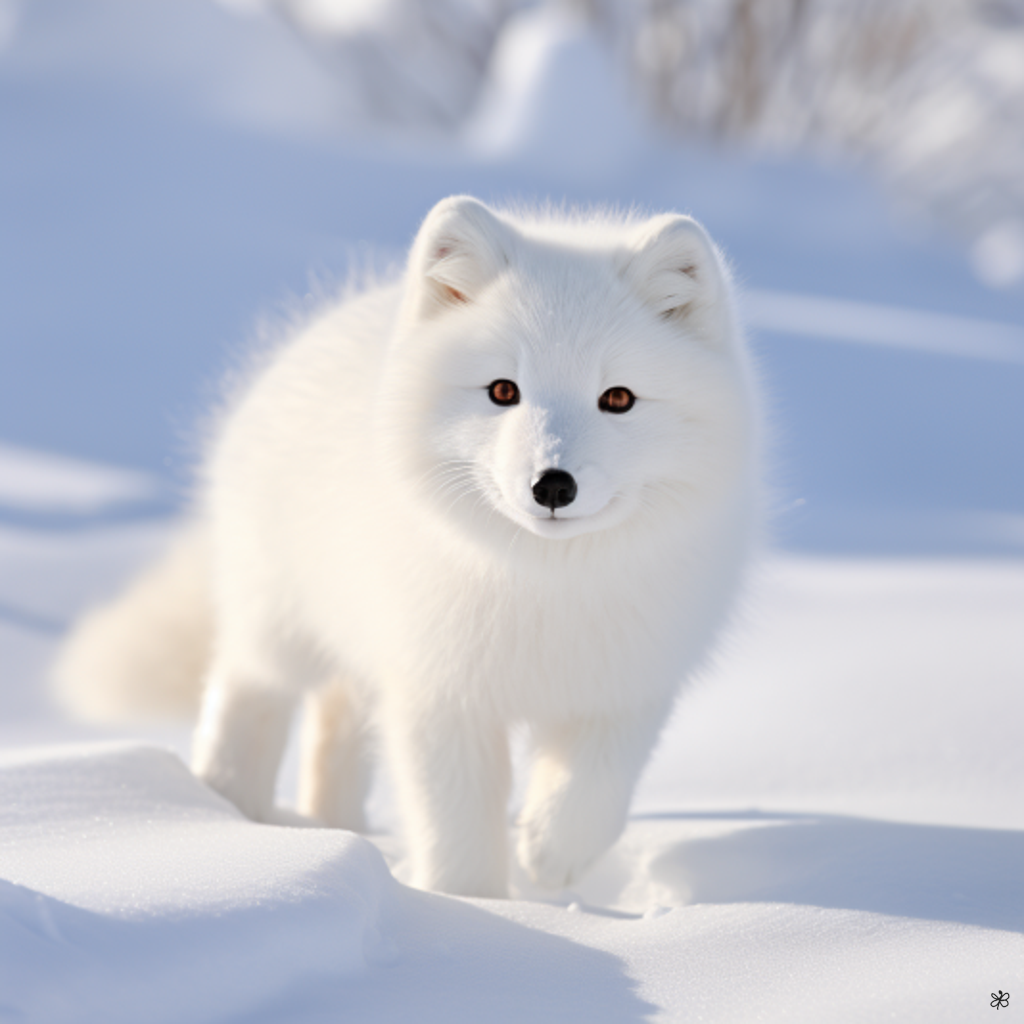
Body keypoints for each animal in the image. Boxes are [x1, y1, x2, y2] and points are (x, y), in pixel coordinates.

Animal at [55, 196, 760, 898]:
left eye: (617, 399)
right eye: (503, 391)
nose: (553, 484)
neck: (541, 584)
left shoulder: (627, 687)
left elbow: (594, 792)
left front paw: (548, 857)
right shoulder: (439, 697)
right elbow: (458, 833)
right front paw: (471, 907)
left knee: (335, 729)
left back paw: (335, 830)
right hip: (280, 622)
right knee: (245, 692)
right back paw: (228, 817)